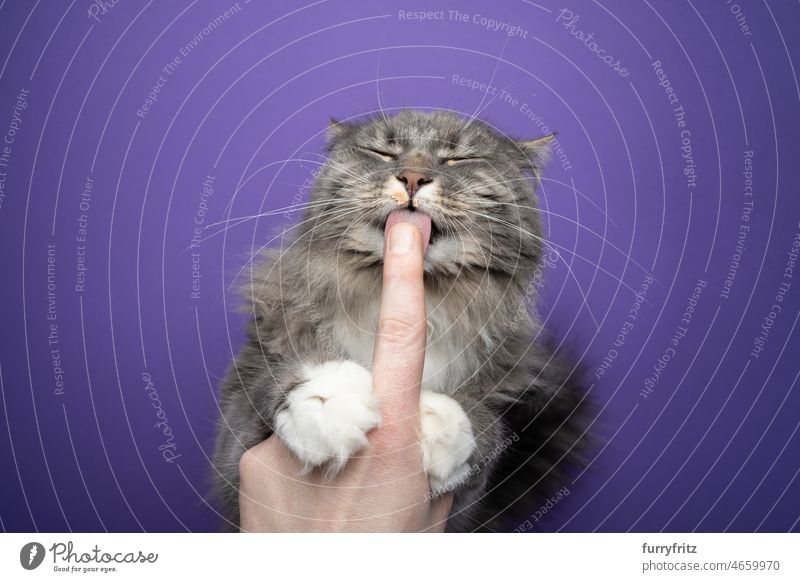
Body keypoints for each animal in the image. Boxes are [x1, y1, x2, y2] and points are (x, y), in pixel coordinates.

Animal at [214, 109, 592, 532]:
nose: (412, 178)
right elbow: (269, 385)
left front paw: (445, 423)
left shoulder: (461, 511)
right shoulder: (233, 458)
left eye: (457, 160)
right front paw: (328, 399)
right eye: (383, 153)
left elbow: (487, 432)